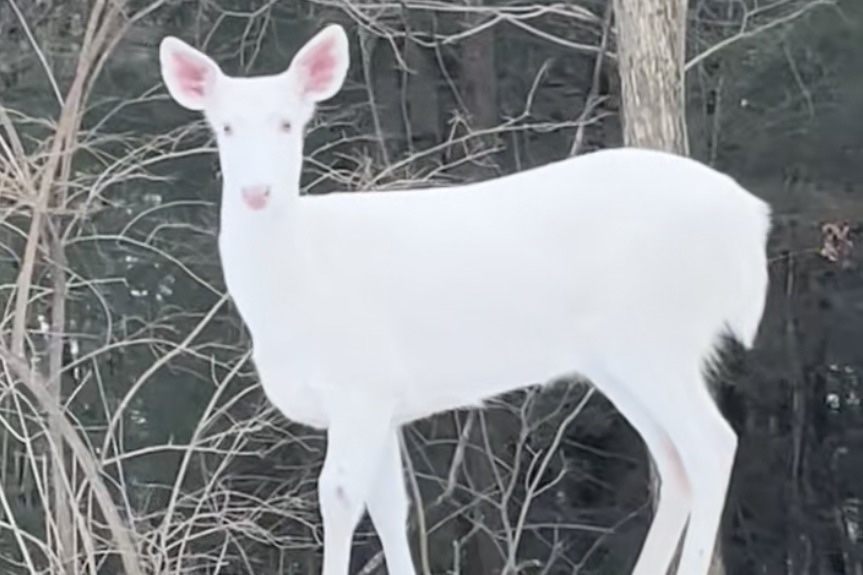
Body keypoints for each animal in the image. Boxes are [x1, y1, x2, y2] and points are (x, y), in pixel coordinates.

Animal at [160, 22, 768, 575]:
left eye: (288, 122)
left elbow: (337, 497)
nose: (256, 191)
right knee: (676, 462)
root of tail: (750, 220)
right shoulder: (383, 399)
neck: (296, 284)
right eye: (225, 127)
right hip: (622, 357)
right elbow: (390, 507)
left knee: (711, 446)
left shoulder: (360, 382)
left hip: (653, 333)